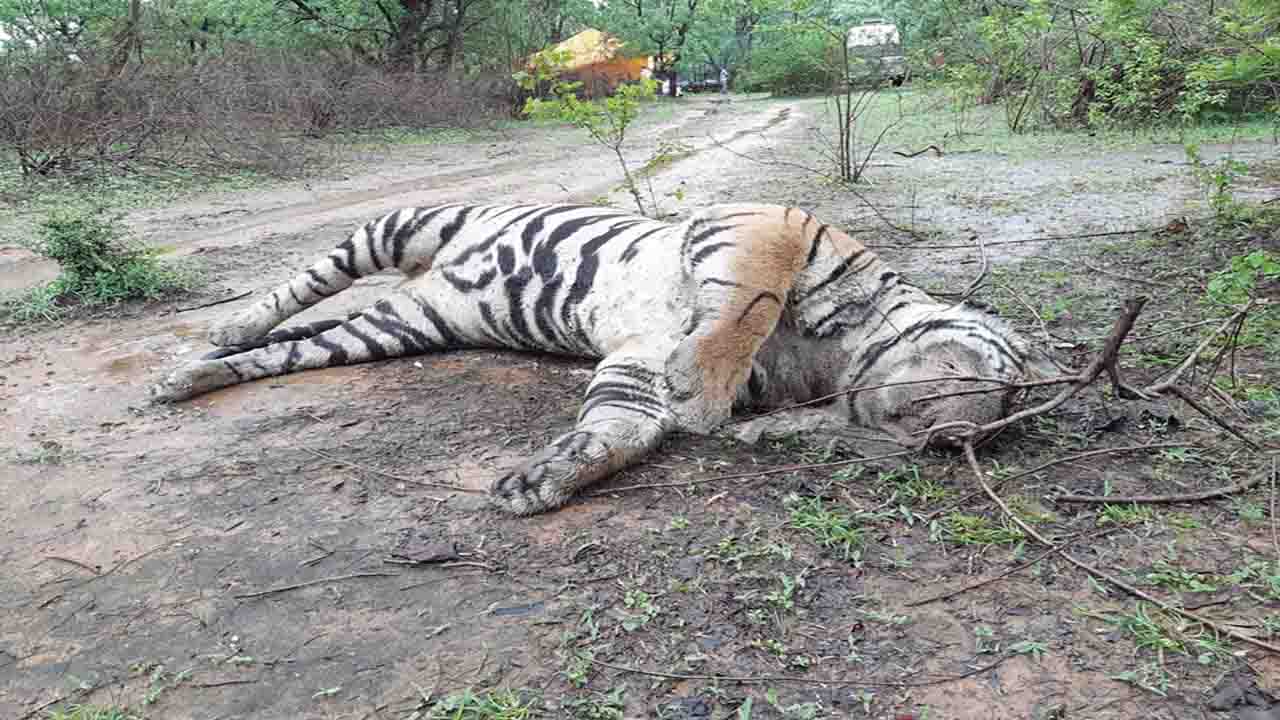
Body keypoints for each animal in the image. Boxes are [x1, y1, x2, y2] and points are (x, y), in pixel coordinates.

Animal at [151, 202, 1056, 515]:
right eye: (999, 382)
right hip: (400, 229)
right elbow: (751, 304)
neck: (833, 364)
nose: (952, 436)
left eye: (1002, 417)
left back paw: (194, 375)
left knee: (299, 345)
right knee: (299, 286)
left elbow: (615, 432)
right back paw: (219, 334)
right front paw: (705, 391)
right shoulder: (766, 225)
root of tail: (429, 278)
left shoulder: (633, 370)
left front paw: (541, 482)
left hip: (395, 327)